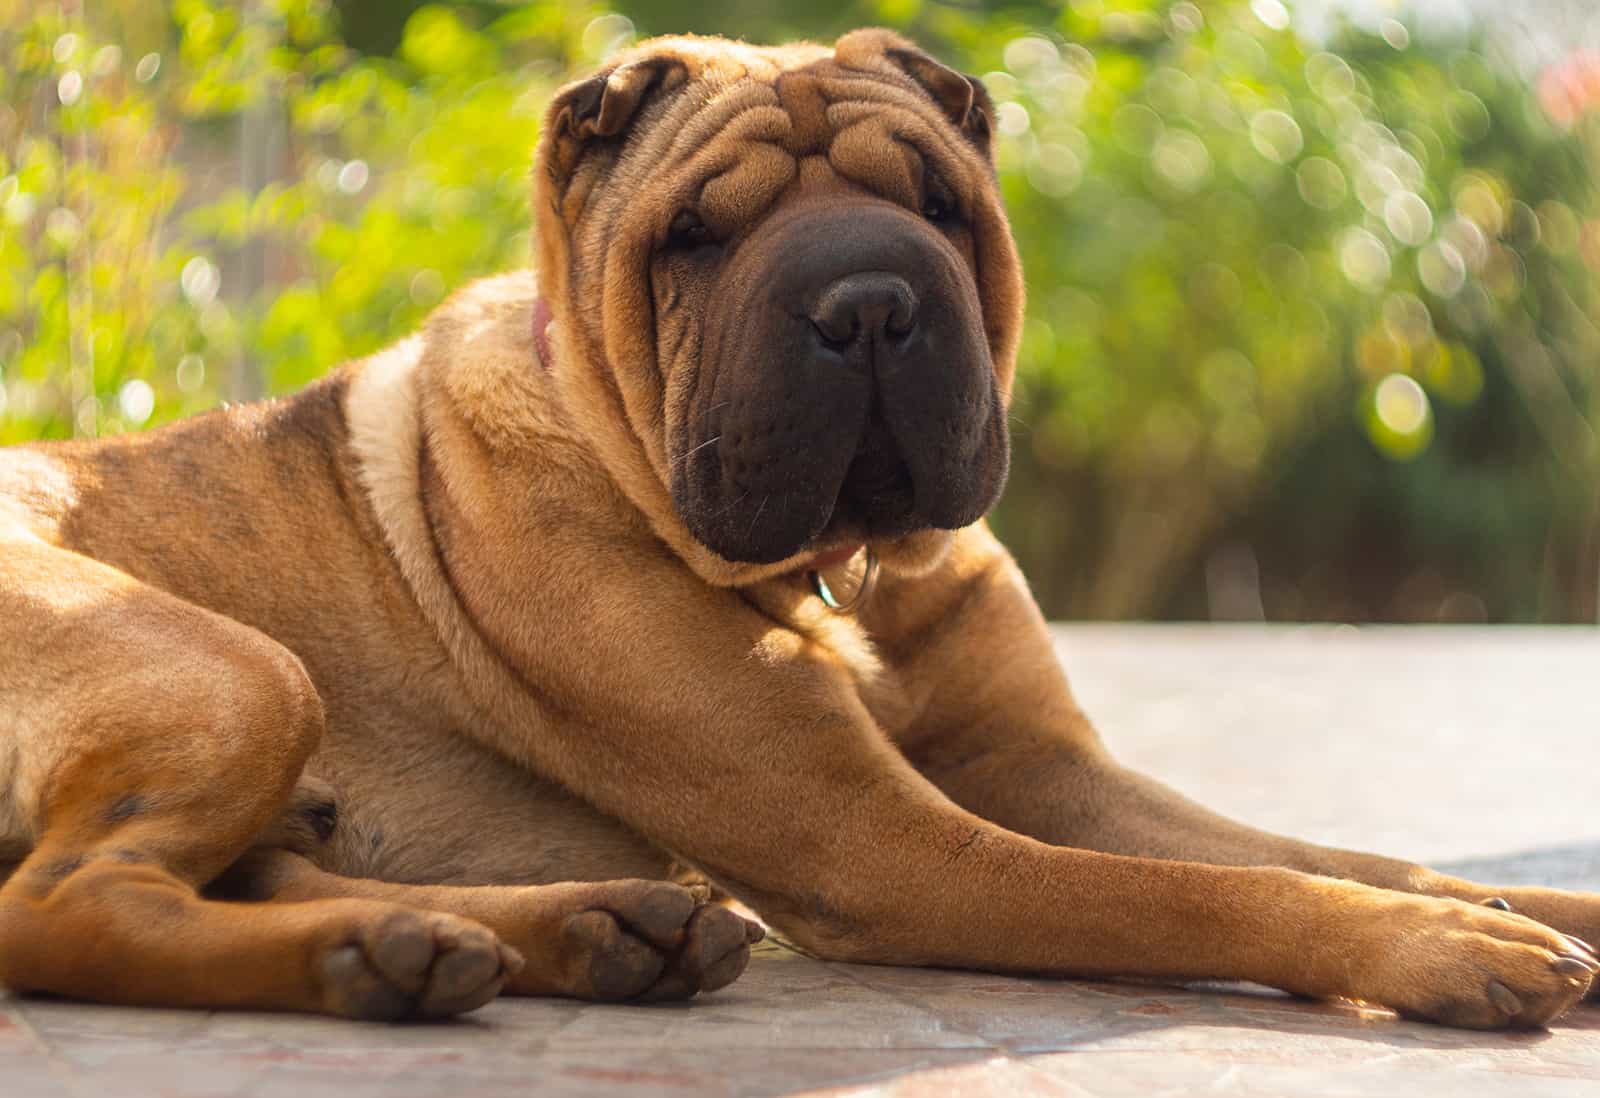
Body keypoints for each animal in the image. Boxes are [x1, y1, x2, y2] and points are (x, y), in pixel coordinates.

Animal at [0, 30, 1593, 1030]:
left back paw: (536, 934)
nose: (869, 300)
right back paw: (407, 948)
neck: (845, 579)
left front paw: (1524, 899)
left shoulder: (1037, 763)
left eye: (941, 206)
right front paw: (1443, 949)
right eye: (695, 236)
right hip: (239, 672)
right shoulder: (885, 842)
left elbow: (1328, 848)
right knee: (63, 909)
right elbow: (1205, 891)